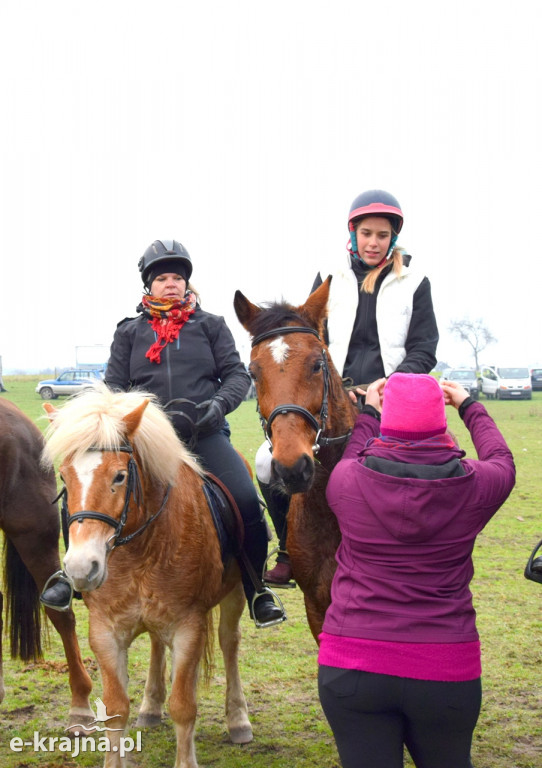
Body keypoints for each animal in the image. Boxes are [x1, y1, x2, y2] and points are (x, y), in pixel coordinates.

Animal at [42, 388, 253, 768]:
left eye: (119, 476)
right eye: (64, 477)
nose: (81, 568)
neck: (140, 552)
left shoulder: (188, 627)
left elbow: (184, 706)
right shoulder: (105, 631)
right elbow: (115, 708)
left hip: (234, 595)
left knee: (229, 643)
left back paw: (238, 720)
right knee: (157, 643)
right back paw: (151, 707)